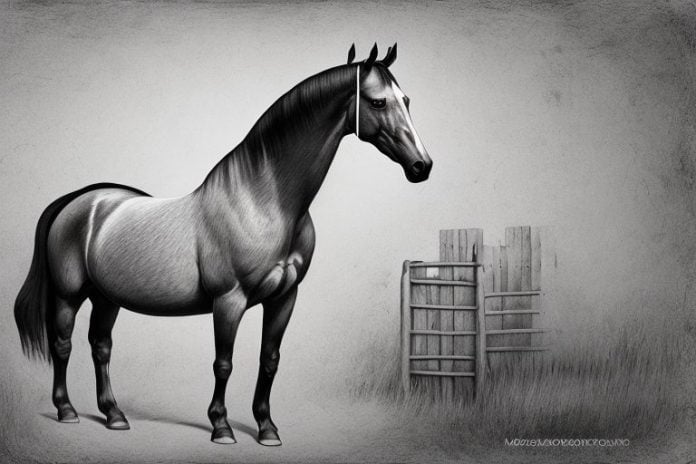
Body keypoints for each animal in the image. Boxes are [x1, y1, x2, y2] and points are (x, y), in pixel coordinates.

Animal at [14, 43, 431, 446]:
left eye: (407, 99)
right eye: (377, 102)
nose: (422, 166)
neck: (264, 201)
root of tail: (82, 200)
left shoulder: (285, 298)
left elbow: (269, 360)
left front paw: (267, 429)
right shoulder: (229, 300)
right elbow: (224, 363)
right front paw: (221, 427)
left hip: (106, 298)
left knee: (100, 346)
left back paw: (114, 415)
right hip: (68, 295)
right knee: (63, 345)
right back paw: (66, 410)